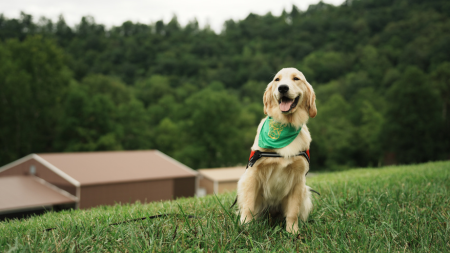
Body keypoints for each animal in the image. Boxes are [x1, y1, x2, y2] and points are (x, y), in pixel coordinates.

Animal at [236, 67, 316, 233]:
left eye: (296, 78)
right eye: (277, 80)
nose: (282, 88)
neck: (285, 125)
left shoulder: (298, 180)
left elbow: (292, 212)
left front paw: (292, 232)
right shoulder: (252, 175)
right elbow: (248, 207)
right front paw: (246, 228)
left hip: (305, 194)